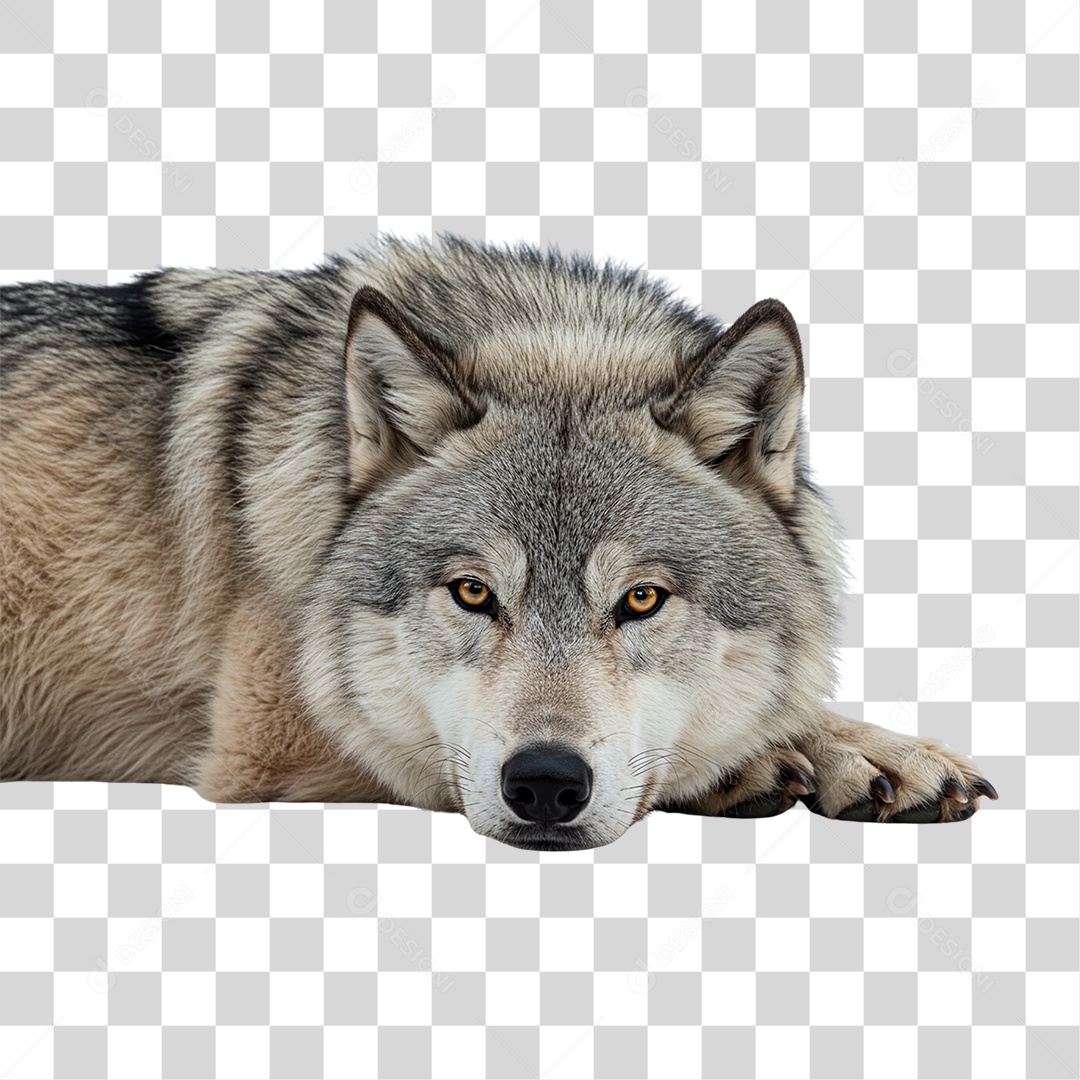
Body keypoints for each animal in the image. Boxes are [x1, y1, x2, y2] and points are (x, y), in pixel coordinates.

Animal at [0, 235, 996, 850]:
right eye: (473, 592)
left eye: (642, 599)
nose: (547, 784)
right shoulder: (263, 740)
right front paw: (762, 759)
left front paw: (867, 749)